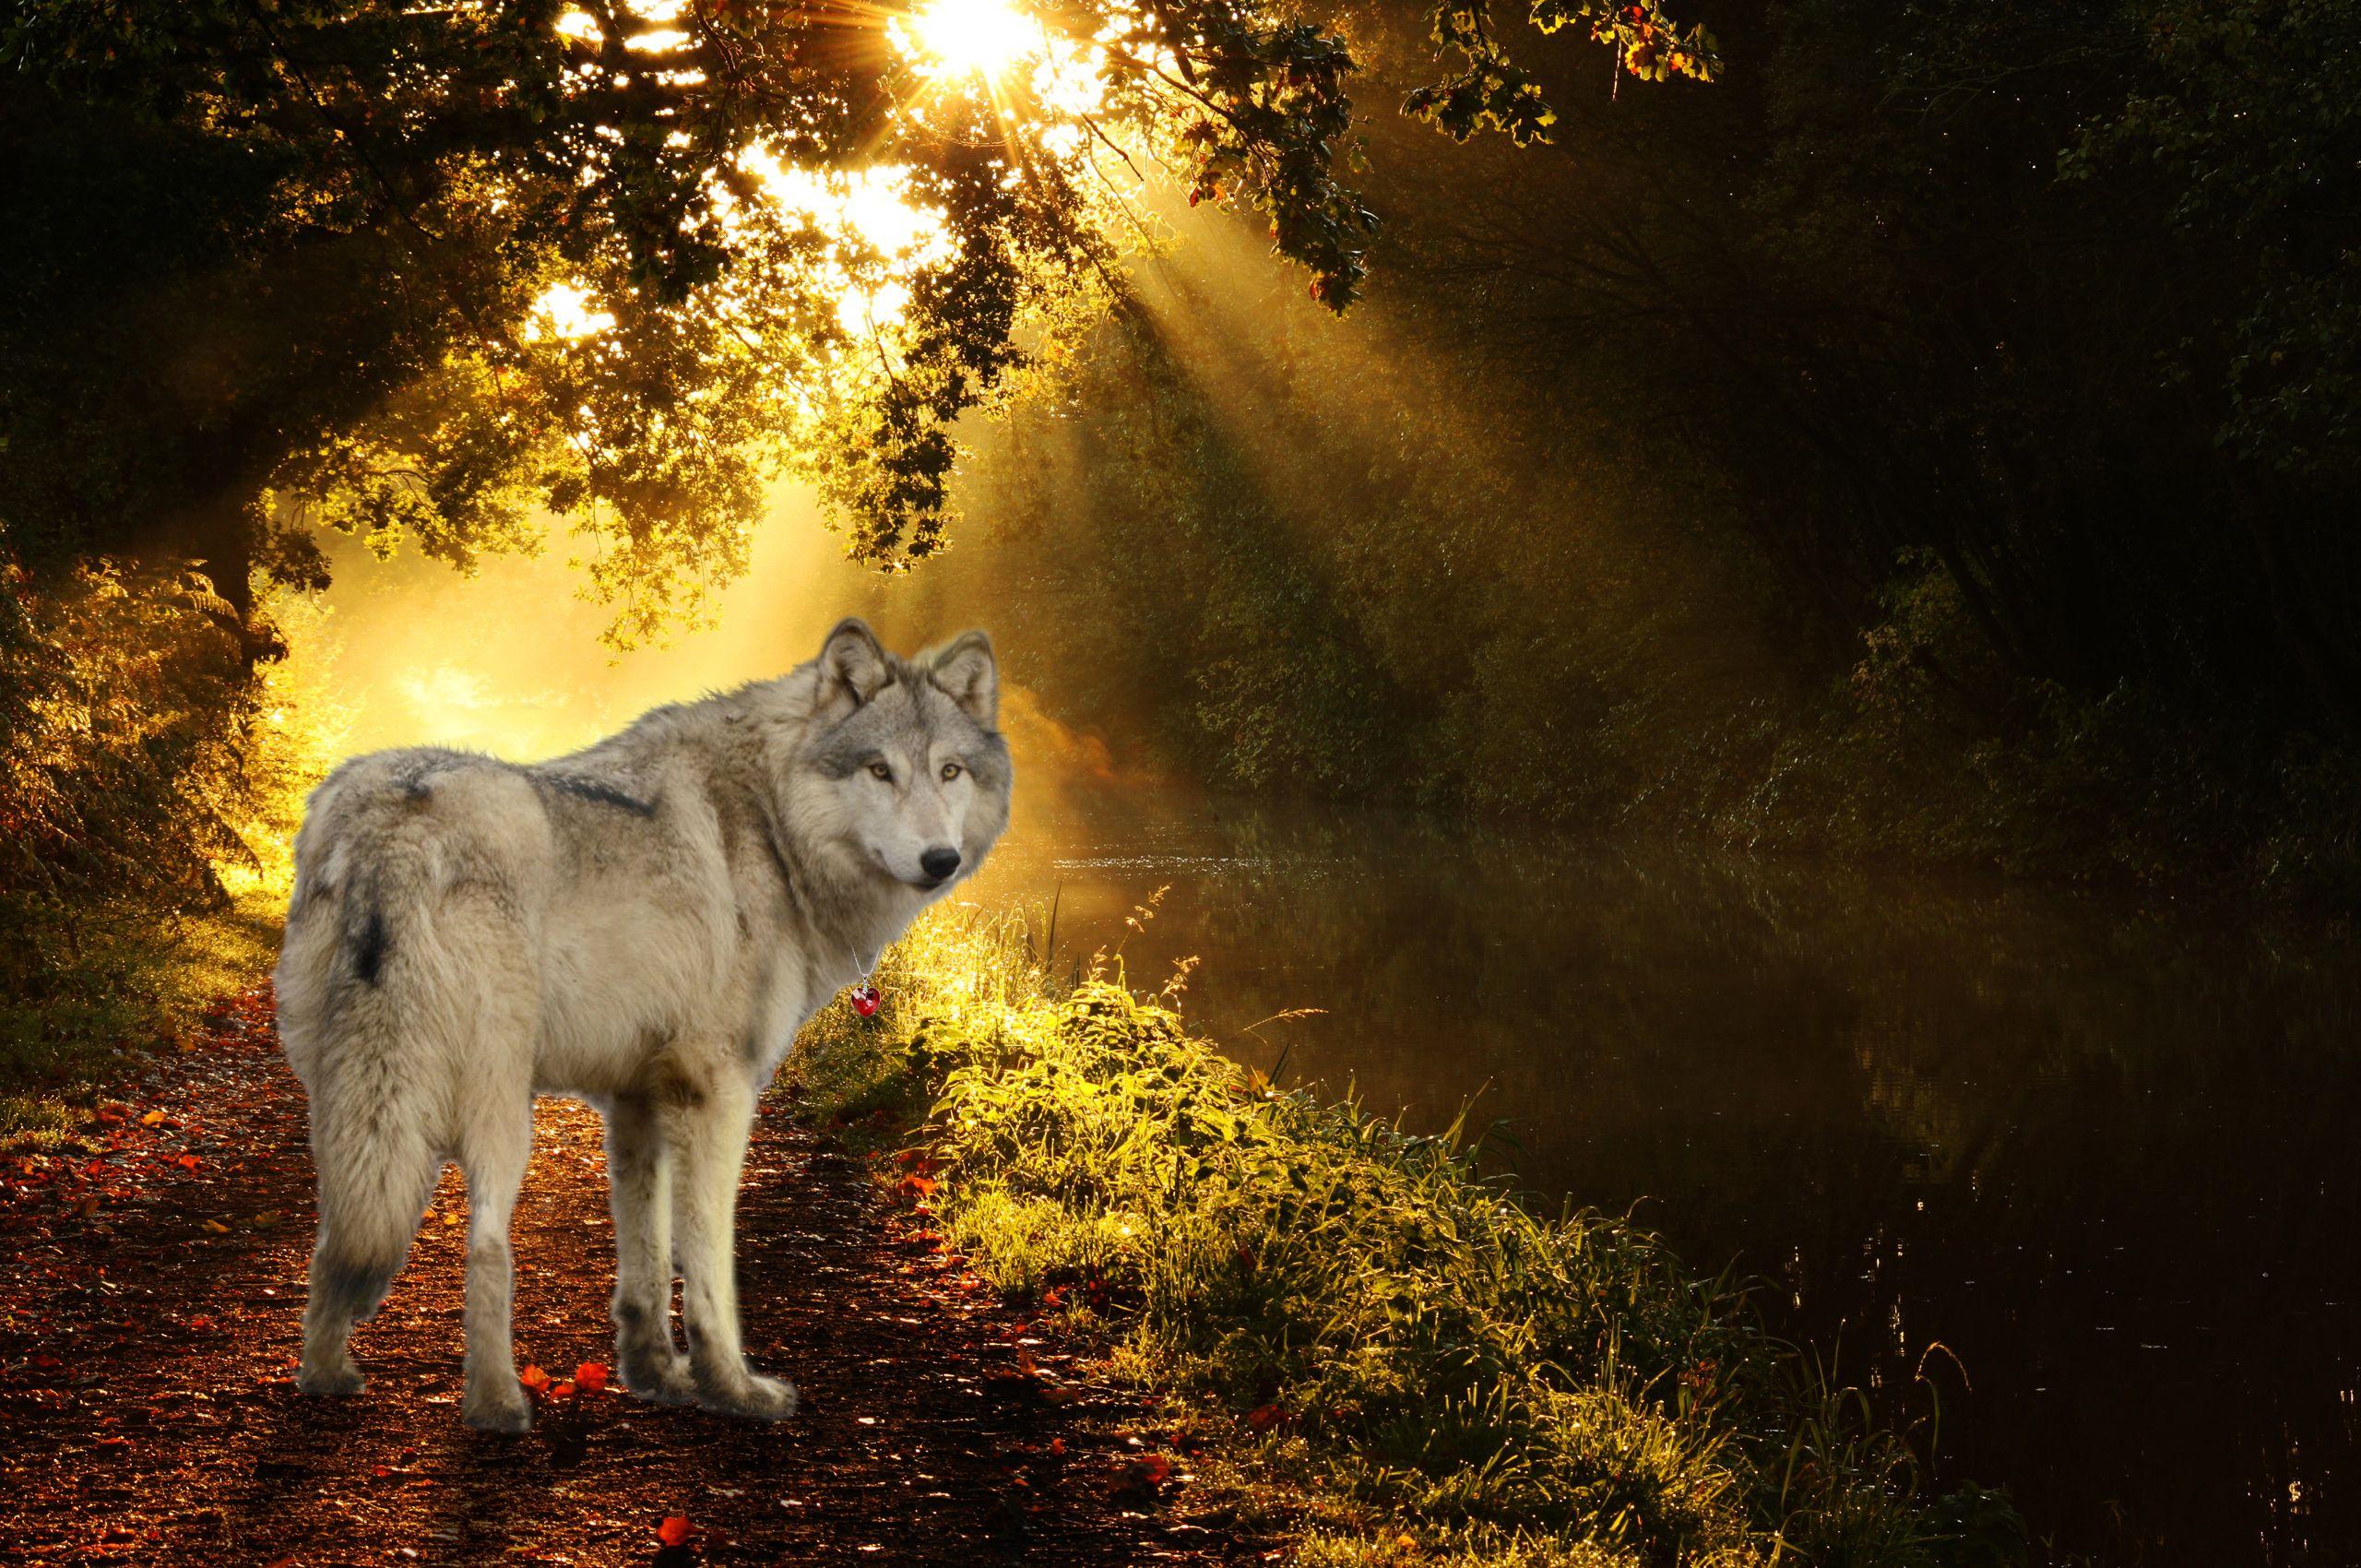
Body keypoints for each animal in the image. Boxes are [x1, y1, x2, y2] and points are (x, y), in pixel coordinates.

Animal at [274, 618, 1009, 1432]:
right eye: (879, 770)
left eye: (950, 771)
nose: (939, 859)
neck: (773, 823)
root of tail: (390, 821)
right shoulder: (716, 1093)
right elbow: (709, 1266)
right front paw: (733, 1388)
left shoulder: (637, 1100)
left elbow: (646, 1261)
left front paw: (656, 1375)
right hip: (496, 1110)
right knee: (486, 1247)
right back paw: (498, 1406)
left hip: (347, 1102)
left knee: (333, 1240)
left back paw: (325, 1375)